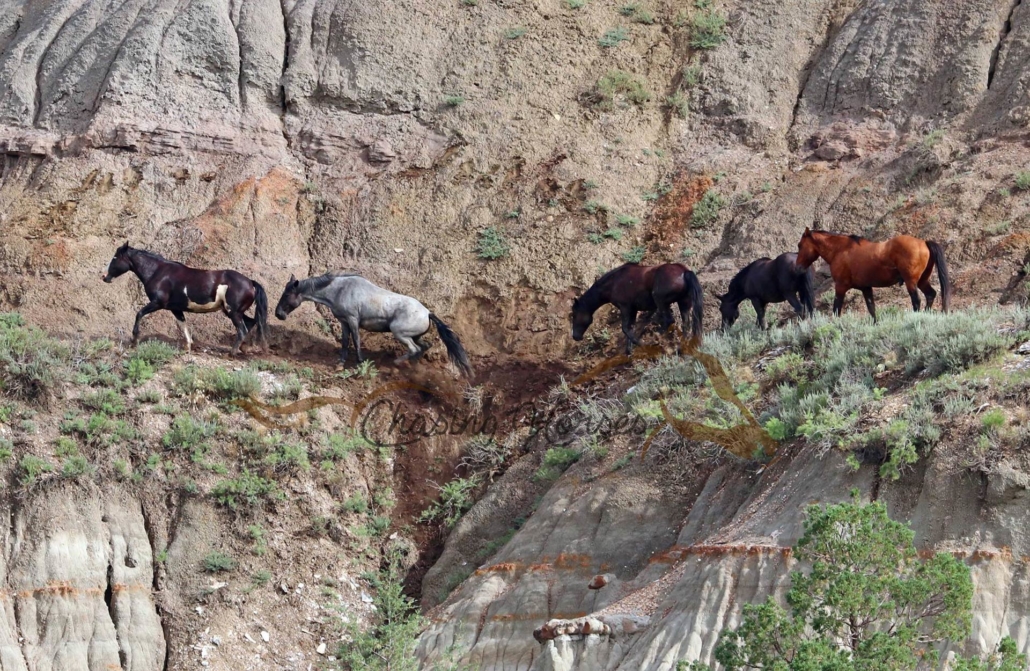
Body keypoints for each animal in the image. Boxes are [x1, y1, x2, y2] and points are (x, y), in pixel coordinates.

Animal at [101, 243, 265, 356]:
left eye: (115, 258)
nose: (104, 277)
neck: (158, 272)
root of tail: (250, 282)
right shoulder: (176, 309)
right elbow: (182, 325)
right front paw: (188, 346)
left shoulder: (157, 303)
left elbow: (139, 314)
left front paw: (134, 340)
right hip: (233, 311)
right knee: (250, 323)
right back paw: (244, 348)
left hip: (233, 312)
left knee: (242, 329)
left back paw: (232, 352)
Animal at [269, 272, 471, 377]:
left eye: (288, 294)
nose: (278, 314)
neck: (340, 289)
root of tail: (427, 313)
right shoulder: (343, 322)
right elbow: (345, 342)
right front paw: (340, 363)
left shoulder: (352, 320)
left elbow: (357, 340)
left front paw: (360, 361)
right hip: (414, 335)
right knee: (424, 346)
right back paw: (412, 365)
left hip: (400, 333)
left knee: (414, 349)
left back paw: (396, 364)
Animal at [568, 259, 704, 354]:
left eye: (574, 315)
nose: (575, 336)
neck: (613, 283)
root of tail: (685, 272)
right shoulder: (633, 310)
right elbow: (631, 328)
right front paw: (629, 350)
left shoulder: (625, 308)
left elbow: (625, 328)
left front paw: (640, 344)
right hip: (684, 303)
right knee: (686, 324)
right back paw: (681, 347)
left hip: (661, 301)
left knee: (669, 320)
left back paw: (656, 338)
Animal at [791, 228, 951, 319]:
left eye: (800, 245)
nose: (797, 268)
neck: (841, 250)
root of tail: (923, 243)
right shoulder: (866, 288)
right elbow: (872, 309)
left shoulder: (840, 287)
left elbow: (836, 310)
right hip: (922, 280)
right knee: (930, 295)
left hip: (911, 282)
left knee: (916, 301)